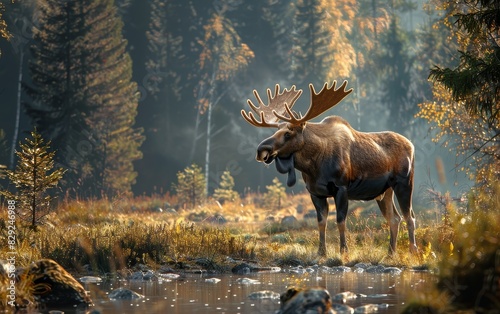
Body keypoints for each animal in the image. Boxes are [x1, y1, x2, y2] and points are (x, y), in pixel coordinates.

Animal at [242, 81, 418, 255]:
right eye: (276, 131)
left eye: (288, 133)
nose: (261, 150)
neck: (314, 167)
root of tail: (412, 145)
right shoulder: (315, 192)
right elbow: (321, 222)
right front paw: (321, 251)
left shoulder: (341, 188)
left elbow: (340, 221)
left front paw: (344, 250)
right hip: (384, 191)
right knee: (394, 218)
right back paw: (391, 252)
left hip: (404, 183)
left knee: (409, 216)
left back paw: (413, 250)